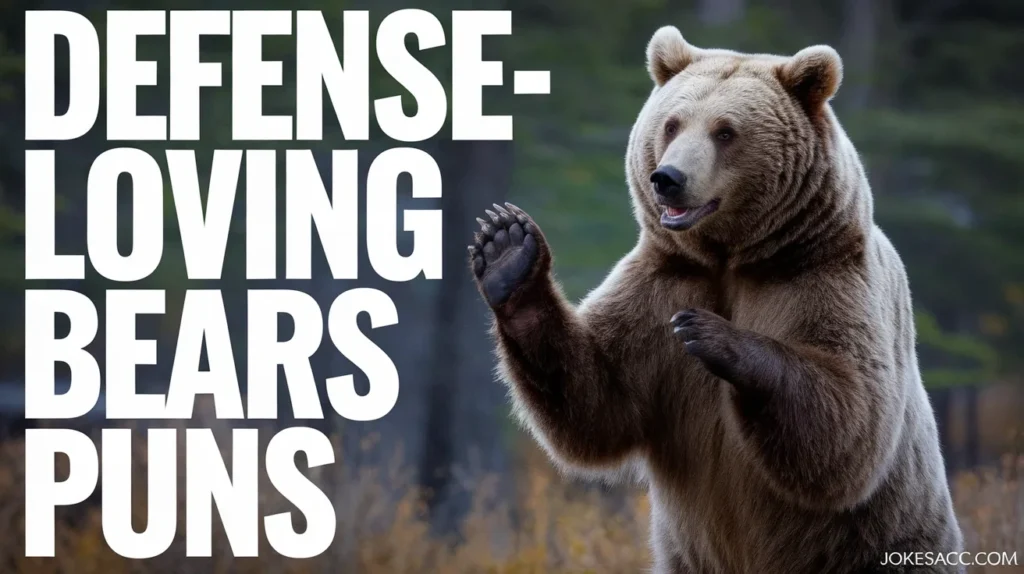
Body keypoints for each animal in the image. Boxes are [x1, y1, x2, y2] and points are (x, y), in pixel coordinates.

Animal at [468, 25, 964, 574]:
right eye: (672, 123)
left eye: (725, 131)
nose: (668, 178)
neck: (732, 258)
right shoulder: (665, 281)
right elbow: (597, 398)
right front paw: (506, 248)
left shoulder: (826, 278)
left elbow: (849, 423)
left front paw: (710, 334)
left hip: (883, 543)